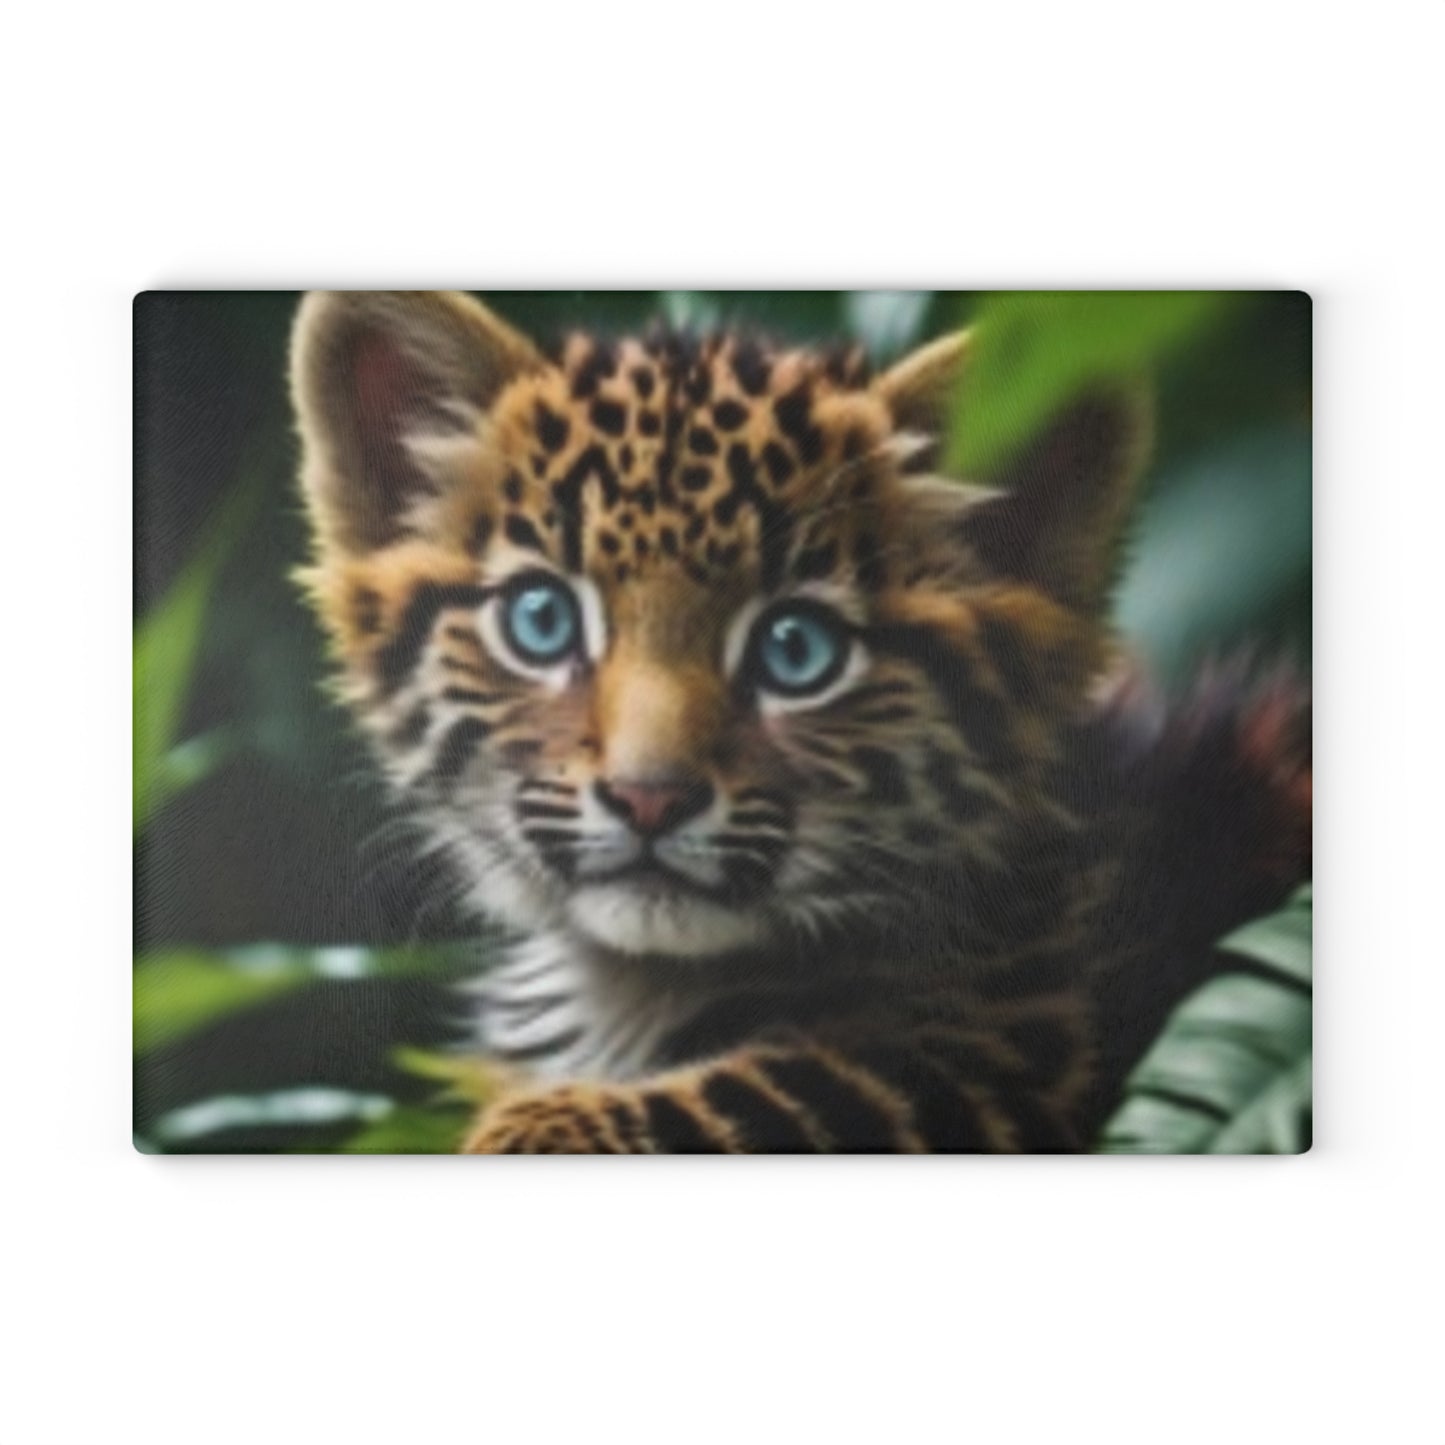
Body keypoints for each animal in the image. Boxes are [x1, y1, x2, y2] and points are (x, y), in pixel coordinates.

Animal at [290, 290, 1311, 1153]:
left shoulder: (1023, 1053)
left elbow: (782, 1089)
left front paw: (527, 1126)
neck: (635, 981)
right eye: (541, 621)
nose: (648, 798)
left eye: (795, 649)